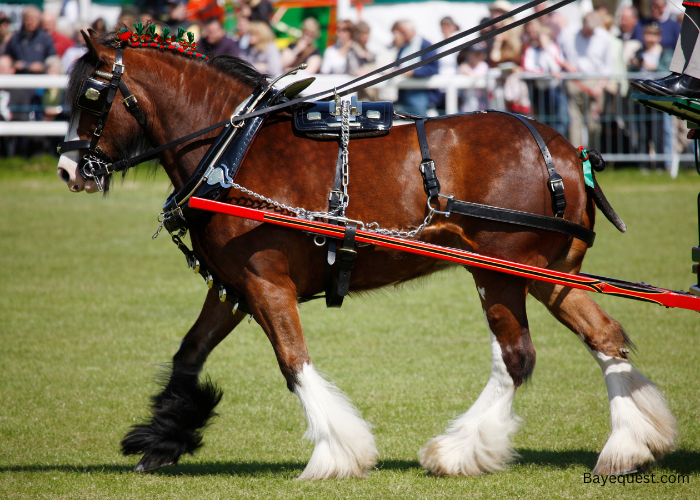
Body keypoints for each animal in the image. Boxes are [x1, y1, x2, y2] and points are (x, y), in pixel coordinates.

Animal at [57, 33, 676, 478]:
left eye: (90, 96)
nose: (68, 169)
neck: (232, 150)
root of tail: (567, 151)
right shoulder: (233, 286)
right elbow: (190, 351)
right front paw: (161, 439)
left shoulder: (266, 282)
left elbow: (293, 361)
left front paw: (337, 453)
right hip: (550, 274)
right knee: (604, 336)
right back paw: (627, 447)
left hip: (500, 270)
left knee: (516, 357)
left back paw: (457, 451)